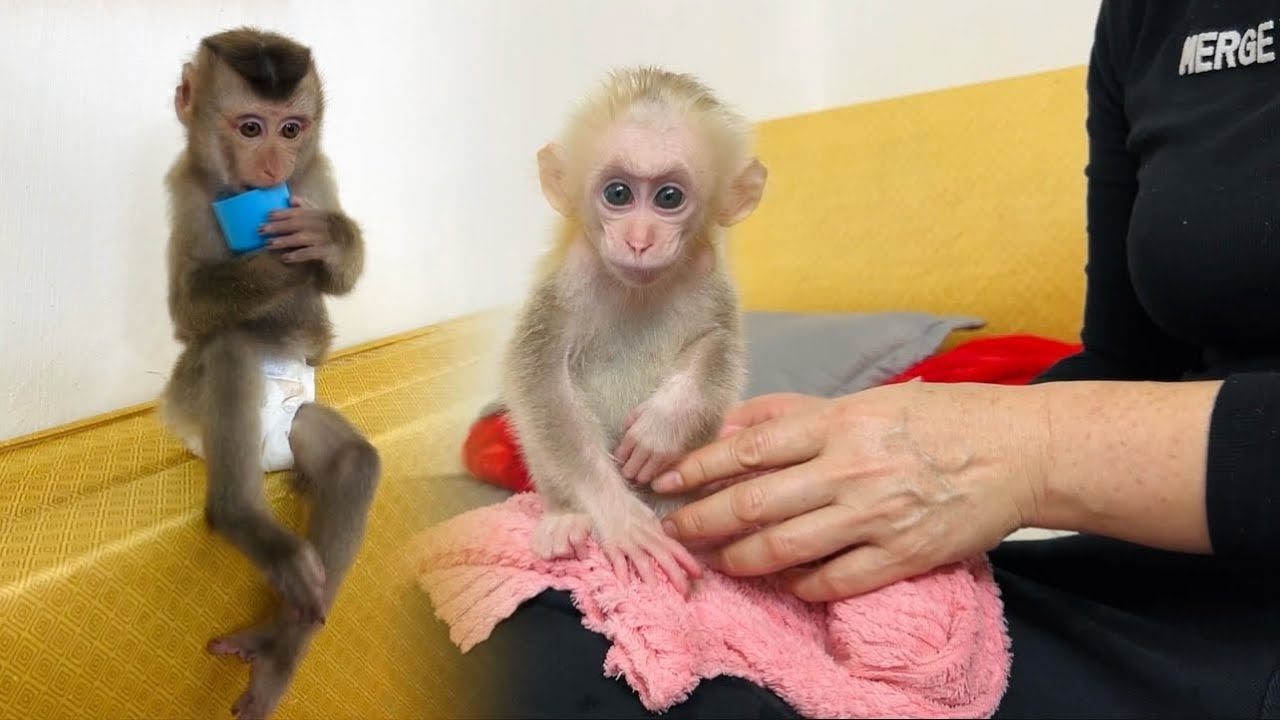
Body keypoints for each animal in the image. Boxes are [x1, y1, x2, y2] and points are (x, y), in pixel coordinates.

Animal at [156, 27, 380, 719]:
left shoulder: (316, 172)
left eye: (292, 128)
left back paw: (278, 648)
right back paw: (240, 518)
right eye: (251, 127)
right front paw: (275, 262)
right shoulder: (185, 189)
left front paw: (325, 239)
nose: (275, 168)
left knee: (353, 465)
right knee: (227, 347)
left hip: (294, 423)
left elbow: (339, 275)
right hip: (190, 410)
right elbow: (189, 309)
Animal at [500, 67, 768, 597]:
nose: (640, 240)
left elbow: (718, 347)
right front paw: (619, 516)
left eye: (669, 197)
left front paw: (663, 427)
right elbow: (538, 377)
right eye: (618, 194)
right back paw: (565, 519)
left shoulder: (710, 279)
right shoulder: (567, 282)